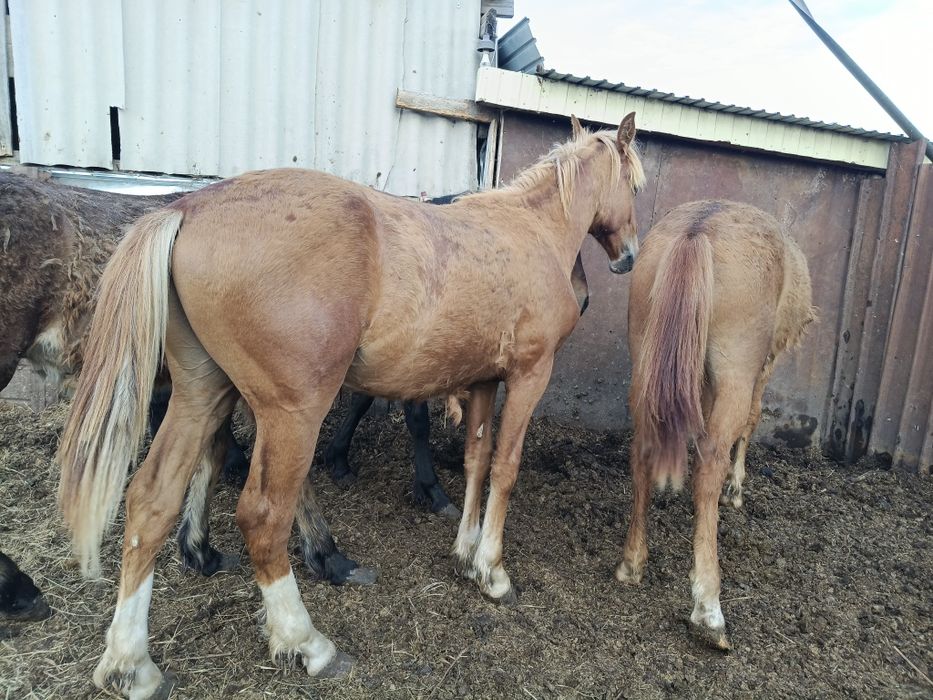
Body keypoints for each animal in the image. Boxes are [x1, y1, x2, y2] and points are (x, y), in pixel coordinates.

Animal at [55, 113, 644, 695]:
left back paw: (130, 662)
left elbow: (476, 461)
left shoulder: (480, 380)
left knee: (151, 501)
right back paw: (305, 641)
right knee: (263, 516)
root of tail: (187, 208)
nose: (628, 257)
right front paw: (492, 571)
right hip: (292, 413)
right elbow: (504, 467)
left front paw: (465, 553)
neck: (529, 230)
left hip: (202, 394)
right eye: (636, 186)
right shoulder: (527, 376)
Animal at [615, 200, 815, 650]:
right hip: (736, 372)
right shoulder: (761, 368)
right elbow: (752, 422)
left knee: (642, 452)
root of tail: (698, 231)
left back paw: (633, 562)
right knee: (710, 463)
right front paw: (735, 489)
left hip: (645, 363)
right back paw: (708, 607)